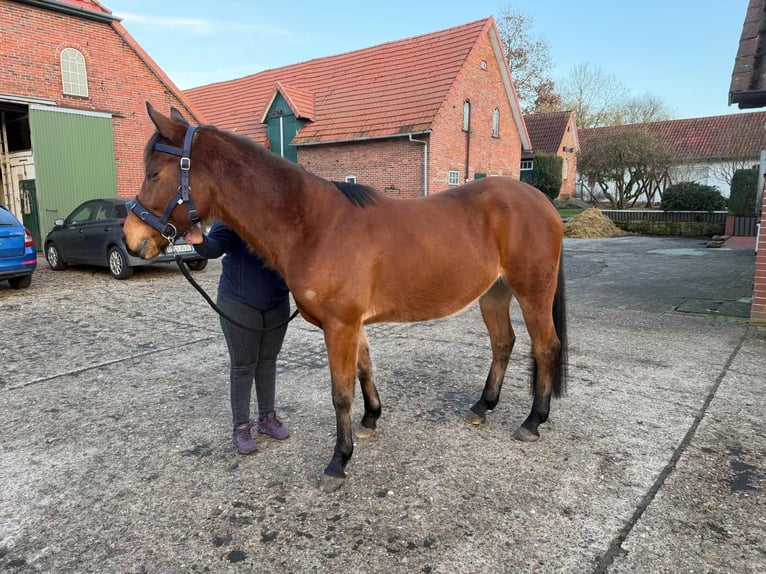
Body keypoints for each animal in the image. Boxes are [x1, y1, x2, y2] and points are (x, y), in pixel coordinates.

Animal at [124, 103, 568, 493]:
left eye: (153, 173)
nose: (132, 239)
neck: (312, 224)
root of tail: (542, 201)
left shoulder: (340, 326)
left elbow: (340, 394)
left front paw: (338, 462)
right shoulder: (353, 325)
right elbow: (365, 369)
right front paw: (371, 419)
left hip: (532, 293)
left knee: (545, 346)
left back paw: (532, 422)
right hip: (494, 293)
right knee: (503, 343)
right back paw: (482, 407)